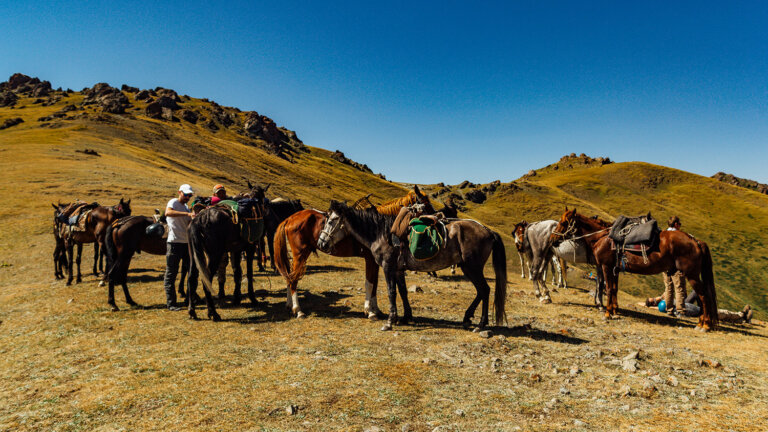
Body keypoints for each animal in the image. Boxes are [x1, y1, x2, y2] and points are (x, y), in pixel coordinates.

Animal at [187, 188, 268, 320]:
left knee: (191, 278)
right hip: (214, 255)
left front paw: (237, 298)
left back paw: (192, 311)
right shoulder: (249, 248)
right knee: (206, 280)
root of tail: (199, 220)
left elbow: (237, 272)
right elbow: (249, 273)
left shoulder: (236, 250)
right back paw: (213, 313)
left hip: (194, 255)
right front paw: (252, 299)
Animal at [272, 184, 436, 318]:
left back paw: (289, 305)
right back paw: (298, 310)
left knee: (289, 276)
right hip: (300, 254)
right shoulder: (370, 260)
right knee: (293, 279)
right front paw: (370, 311)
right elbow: (369, 283)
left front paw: (375, 309)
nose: (436, 217)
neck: (377, 227)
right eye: (426, 203)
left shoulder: (376, 262)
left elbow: (374, 284)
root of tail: (290, 219)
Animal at [320, 201, 508, 332]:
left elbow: (391, 292)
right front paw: (405, 317)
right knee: (481, 291)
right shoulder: (398, 270)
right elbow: (403, 292)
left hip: (472, 267)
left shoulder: (388, 267)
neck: (381, 233)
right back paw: (468, 318)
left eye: (332, 220)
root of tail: (488, 231)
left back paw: (481, 324)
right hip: (468, 267)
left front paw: (390, 321)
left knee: (484, 290)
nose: (321, 243)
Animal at [544, 208, 720, 330]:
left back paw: (704, 325)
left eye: (564, 223)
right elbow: (613, 289)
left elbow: (609, 288)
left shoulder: (607, 267)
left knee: (703, 296)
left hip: (692, 275)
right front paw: (614, 311)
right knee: (703, 296)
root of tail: (695, 240)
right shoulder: (614, 269)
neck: (602, 238)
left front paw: (608, 313)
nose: (552, 239)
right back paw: (702, 323)